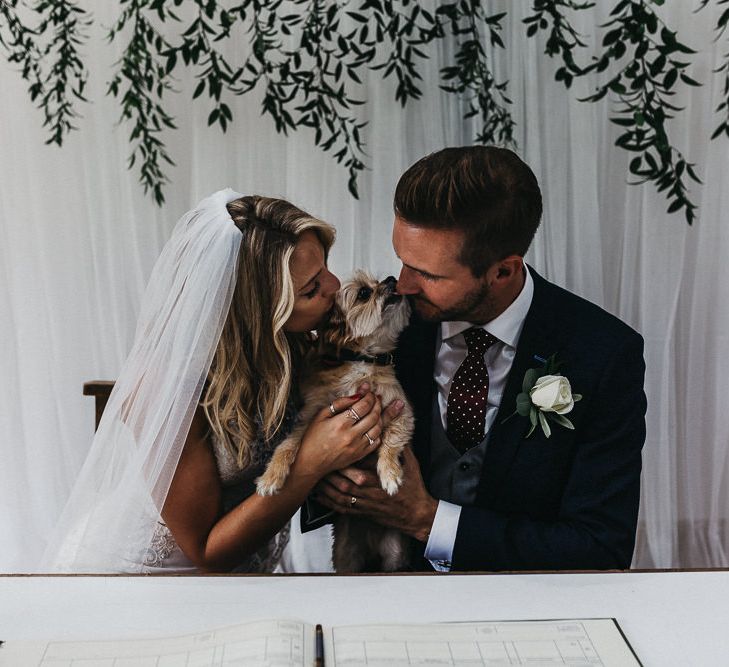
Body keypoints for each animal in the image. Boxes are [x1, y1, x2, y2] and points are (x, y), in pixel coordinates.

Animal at [258, 272, 416, 576]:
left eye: (380, 281)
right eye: (365, 293)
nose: (392, 278)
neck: (364, 363)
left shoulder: (401, 411)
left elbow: (391, 442)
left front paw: (390, 474)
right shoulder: (310, 418)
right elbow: (287, 446)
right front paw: (271, 478)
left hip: (395, 554)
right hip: (346, 554)